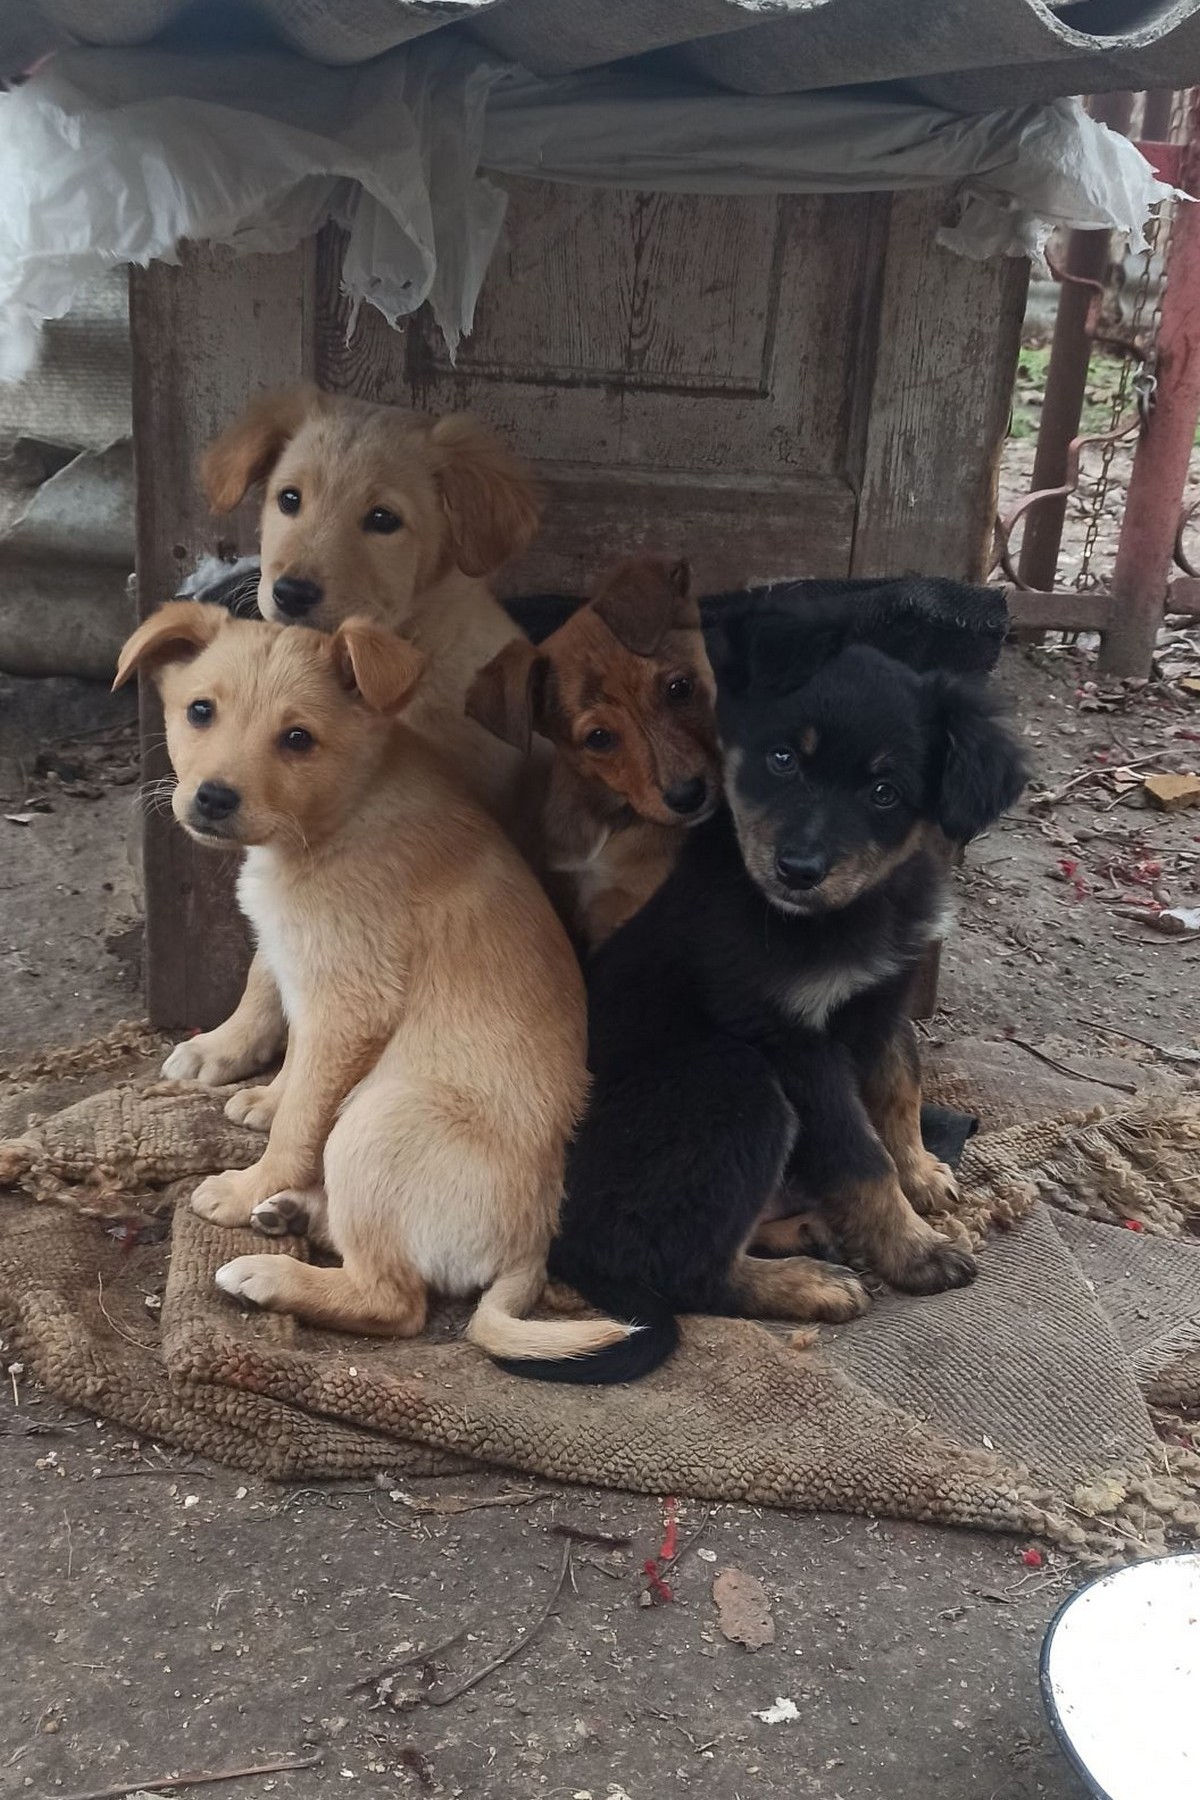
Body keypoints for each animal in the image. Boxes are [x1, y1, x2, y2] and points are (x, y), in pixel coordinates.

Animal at [115, 597, 629, 1353]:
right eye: (200, 711)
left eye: (297, 738)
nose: (210, 799)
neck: (344, 810)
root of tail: (531, 1248)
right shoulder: (302, 967)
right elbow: (283, 1031)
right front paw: (255, 1089)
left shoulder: (350, 1001)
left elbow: (303, 1118)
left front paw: (245, 1186)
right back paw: (294, 1212)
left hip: (377, 1124)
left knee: (394, 1302)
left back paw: (270, 1270)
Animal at [503, 612, 1029, 1382]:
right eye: (782, 759)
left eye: (884, 793)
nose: (798, 870)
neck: (841, 918)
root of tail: (556, 1240)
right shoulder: (789, 1040)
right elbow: (858, 1154)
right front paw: (912, 1250)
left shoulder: (884, 999)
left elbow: (898, 1089)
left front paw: (921, 1176)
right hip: (733, 1078)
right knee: (685, 1273)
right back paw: (807, 1285)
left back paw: (806, 1229)